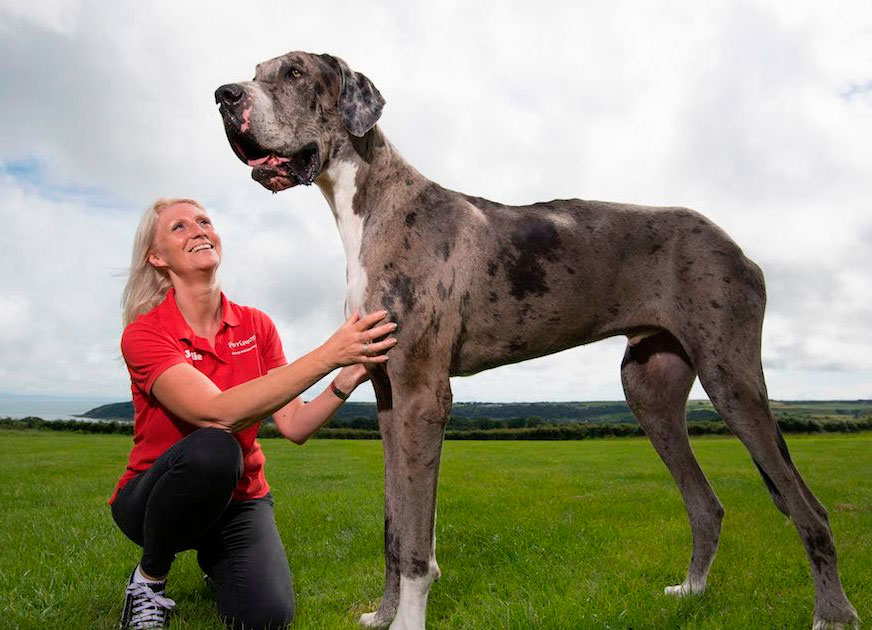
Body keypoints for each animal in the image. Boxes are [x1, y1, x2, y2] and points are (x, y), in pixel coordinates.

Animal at [216, 51, 860, 628]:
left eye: (294, 72)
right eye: (253, 72)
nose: (224, 95)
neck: (370, 206)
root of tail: (737, 246)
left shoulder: (423, 395)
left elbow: (417, 542)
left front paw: (407, 621)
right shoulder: (388, 397)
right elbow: (394, 529)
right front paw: (382, 614)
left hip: (732, 380)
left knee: (809, 508)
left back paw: (832, 615)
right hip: (648, 389)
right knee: (707, 505)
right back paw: (692, 592)